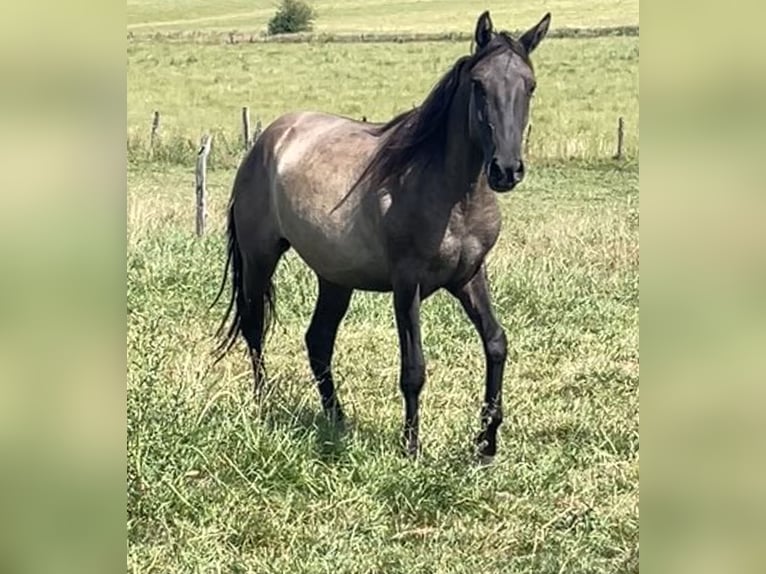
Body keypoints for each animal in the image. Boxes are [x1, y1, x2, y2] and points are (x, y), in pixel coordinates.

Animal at [214, 10, 551, 459]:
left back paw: (336, 418)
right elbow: (414, 368)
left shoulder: (469, 276)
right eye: (479, 84)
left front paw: (486, 442)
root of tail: (267, 139)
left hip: (335, 278)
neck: (450, 193)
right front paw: (411, 447)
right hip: (259, 258)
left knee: (318, 340)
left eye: (529, 85)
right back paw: (264, 404)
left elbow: (496, 343)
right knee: (254, 326)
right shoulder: (407, 284)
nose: (506, 170)